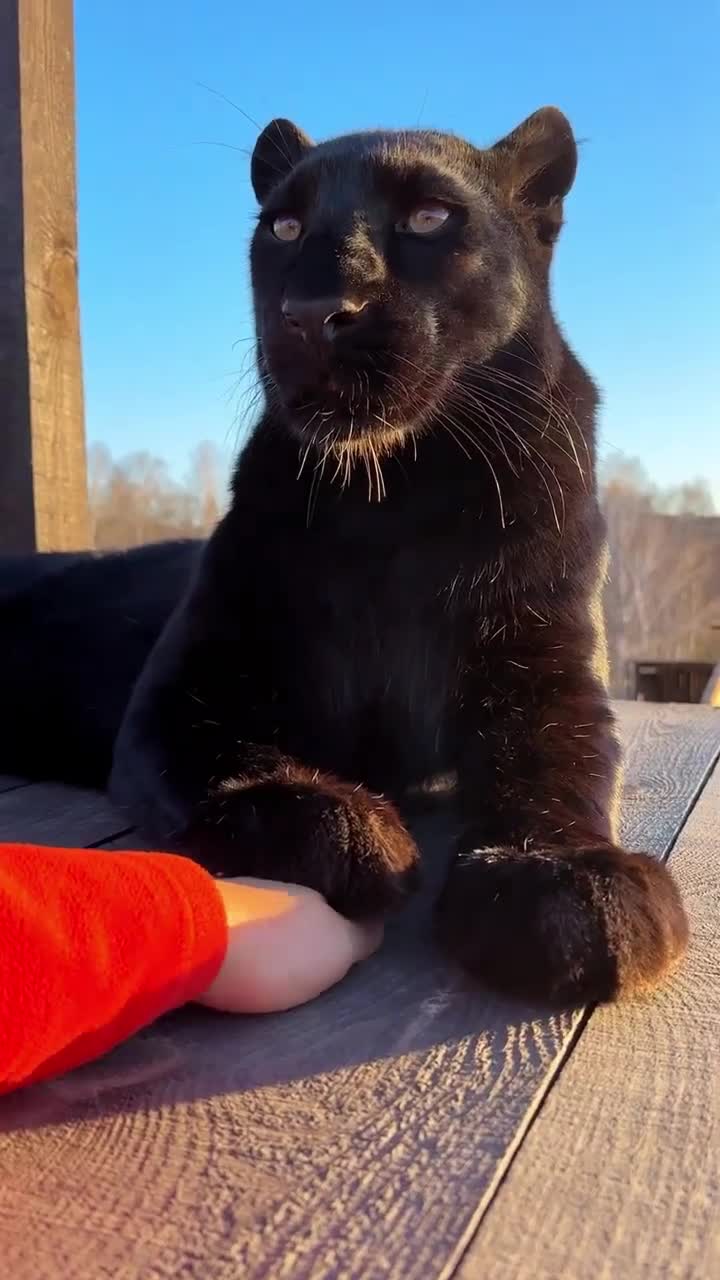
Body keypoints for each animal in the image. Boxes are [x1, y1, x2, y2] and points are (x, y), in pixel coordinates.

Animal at [0, 107, 687, 1005]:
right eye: (284, 227)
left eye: (429, 216)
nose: (315, 308)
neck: (390, 502)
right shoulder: (179, 692)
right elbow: (229, 760)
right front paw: (346, 827)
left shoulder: (550, 665)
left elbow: (557, 764)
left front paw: (566, 883)